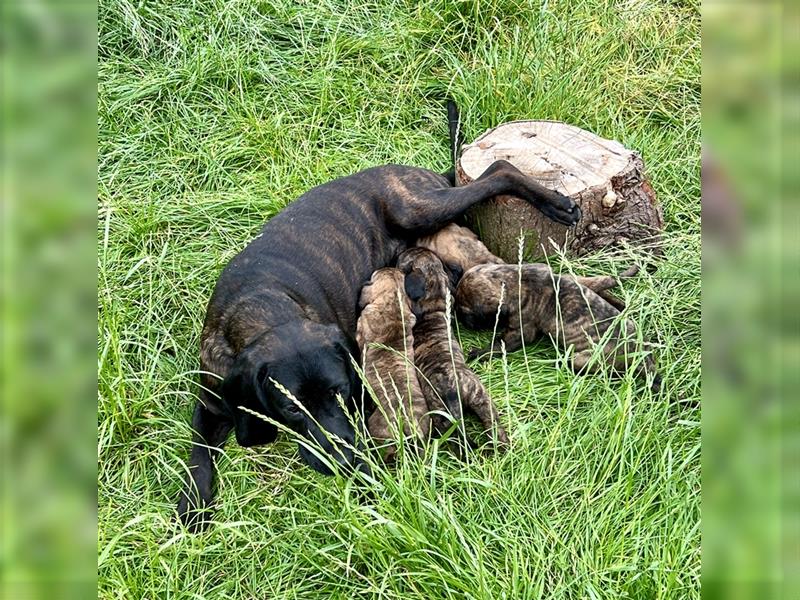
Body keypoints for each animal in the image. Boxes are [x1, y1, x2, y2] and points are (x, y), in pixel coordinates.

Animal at [396, 246, 510, 448]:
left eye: (406, 257)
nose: (405, 248)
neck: (433, 308)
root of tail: (452, 389)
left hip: (443, 418)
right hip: (480, 398)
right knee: (494, 426)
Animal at [454, 264, 660, 392]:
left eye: (466, 312)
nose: (459, 320)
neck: (514, 279)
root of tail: (641, 355)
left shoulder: (519, 333)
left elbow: (498, 345)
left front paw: (478, 353)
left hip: (583, 359)